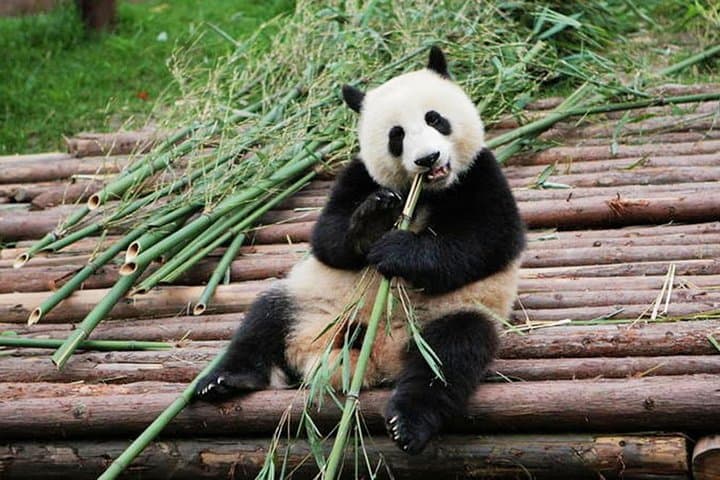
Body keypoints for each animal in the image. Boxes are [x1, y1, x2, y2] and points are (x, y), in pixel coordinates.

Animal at [195, 46, 526, 455]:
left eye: (435, 119)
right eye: (397, 136)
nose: (428, 159)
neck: (425, 192)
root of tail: (375, 358)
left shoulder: (481, 173)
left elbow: (488, 241)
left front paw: (399, 250)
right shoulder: (358, 176)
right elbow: (328, 237)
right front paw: (373, 220)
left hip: (447, 315)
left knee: (449, 356)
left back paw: (408, 424)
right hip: (310, 300)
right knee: (264, 320)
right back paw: (225, 380)